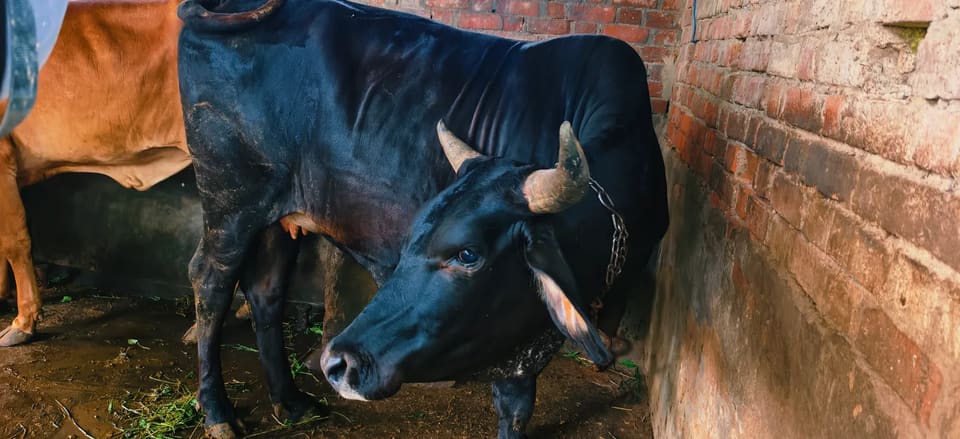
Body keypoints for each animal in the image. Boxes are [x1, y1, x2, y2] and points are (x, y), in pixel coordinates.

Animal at [177, 0, 668, 437]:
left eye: (468, 254)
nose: (339, 363)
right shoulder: (510, 337)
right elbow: (515, 406)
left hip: (277, 217)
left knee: (266, 292)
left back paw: (291, 401)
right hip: (231, 199)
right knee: (210, 282)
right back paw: (217, 412)